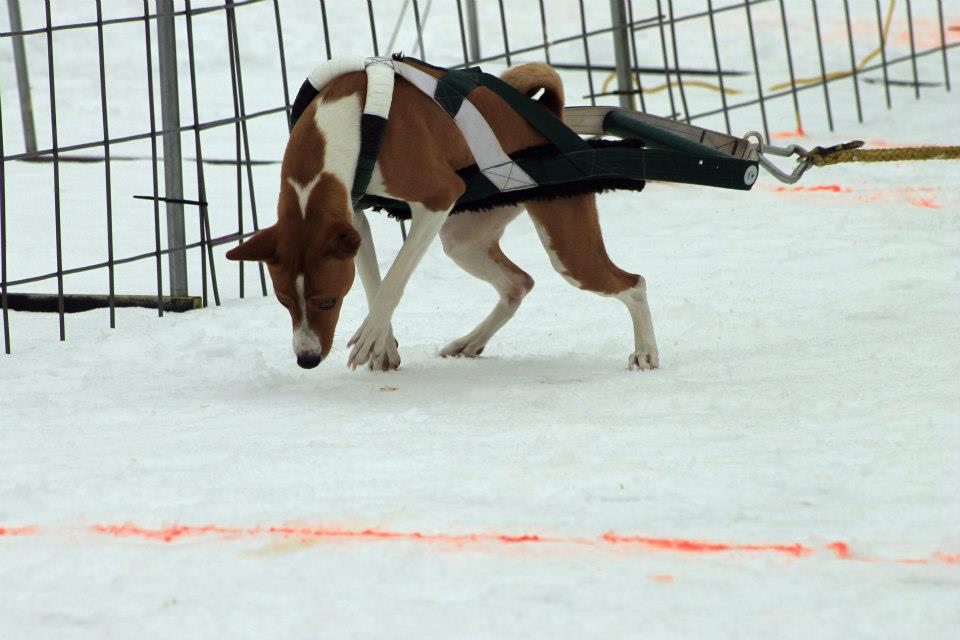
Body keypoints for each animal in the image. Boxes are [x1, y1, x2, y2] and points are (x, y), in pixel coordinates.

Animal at [226, 61, 660, 370]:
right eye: (283, 300)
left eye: (328, 302)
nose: (307, 359)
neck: (352, 121)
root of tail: (546, 118)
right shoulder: (354, 218)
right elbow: (373, 282)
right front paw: (383, 344)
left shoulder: (438, 198)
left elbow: (394, 280)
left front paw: (370, 336)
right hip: (463, 242)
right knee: (518, 284)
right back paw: (471, 342)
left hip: (569, 251)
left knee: (634, 284)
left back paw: (646, 352)